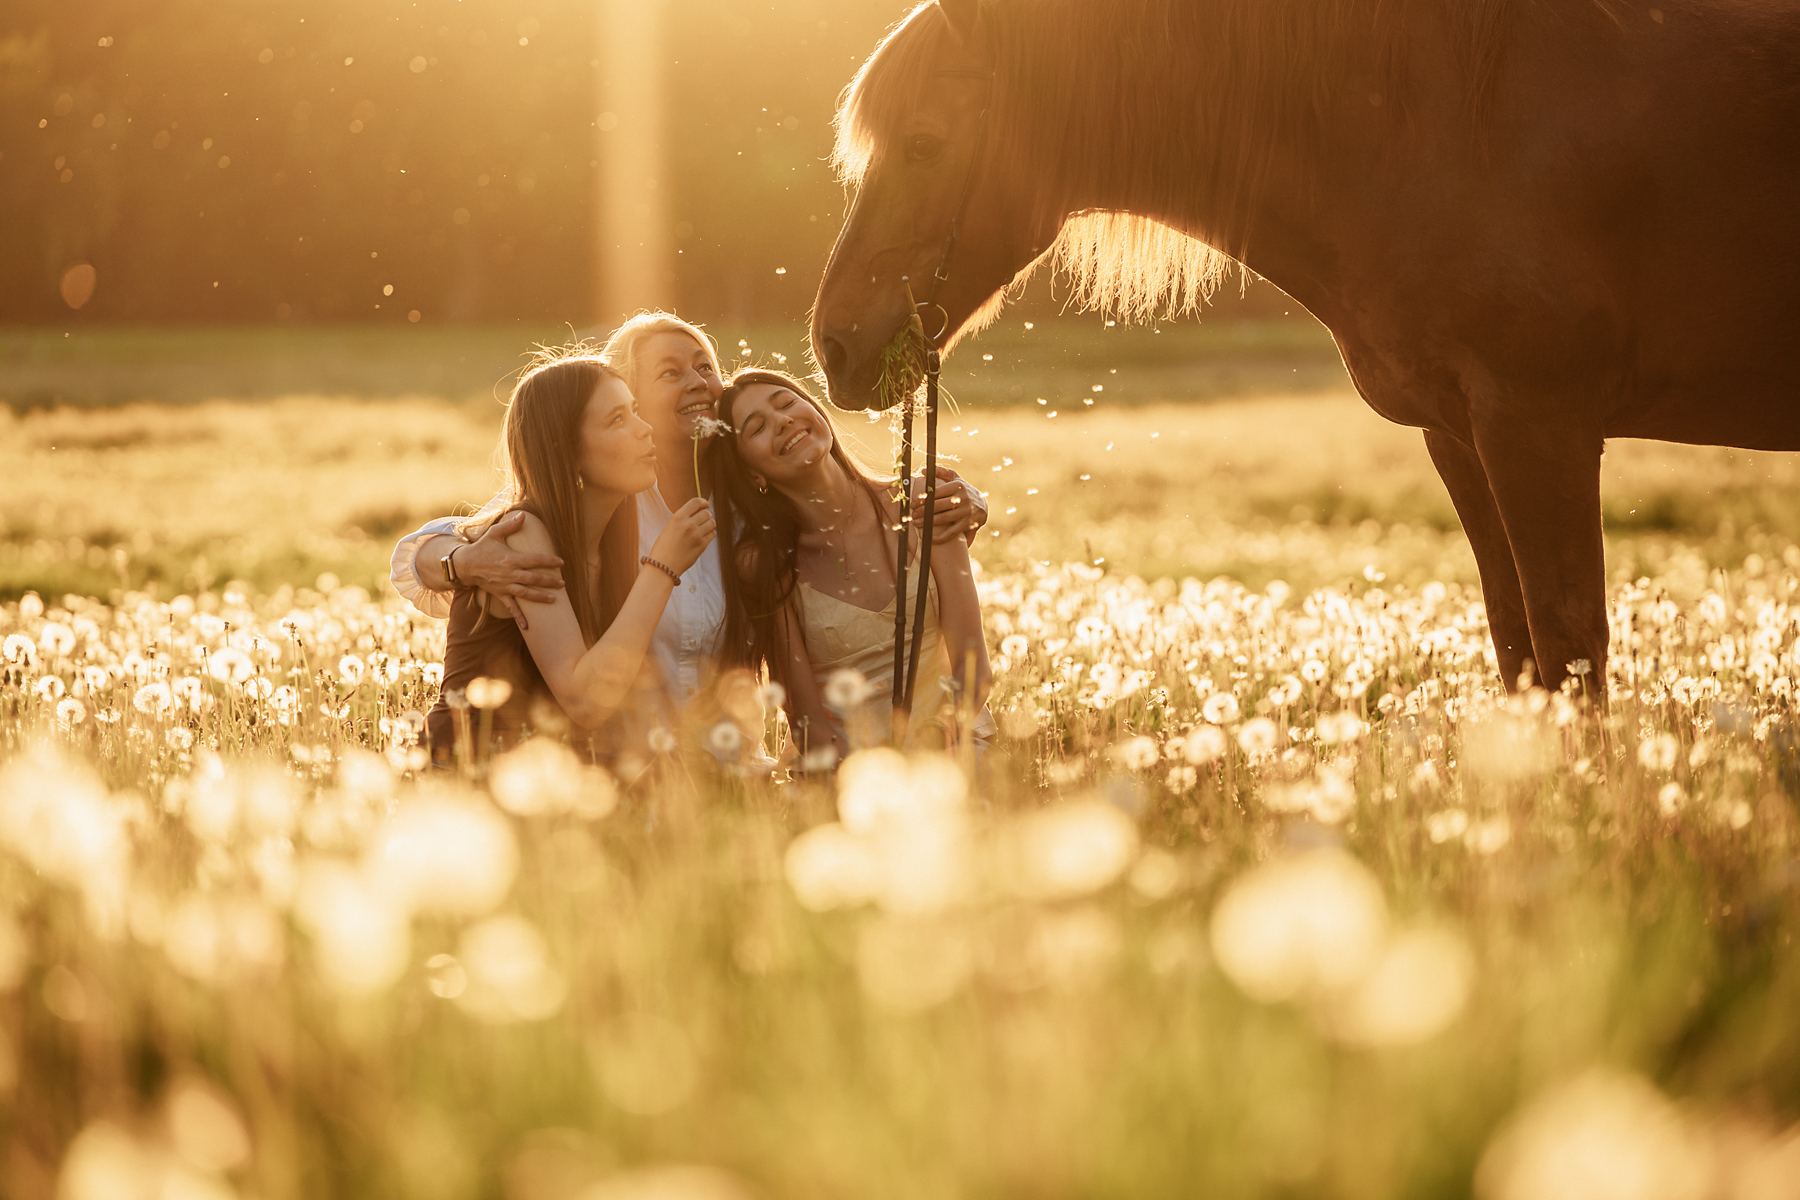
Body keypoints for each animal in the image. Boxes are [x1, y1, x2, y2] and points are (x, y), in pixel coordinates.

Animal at [809, 0, 1800, 697]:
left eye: (926, 143)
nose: (834, 346)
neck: (1447, 128)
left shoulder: (1539, 425)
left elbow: (1569, 646)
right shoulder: (1462, 437)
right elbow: (1519, 648)